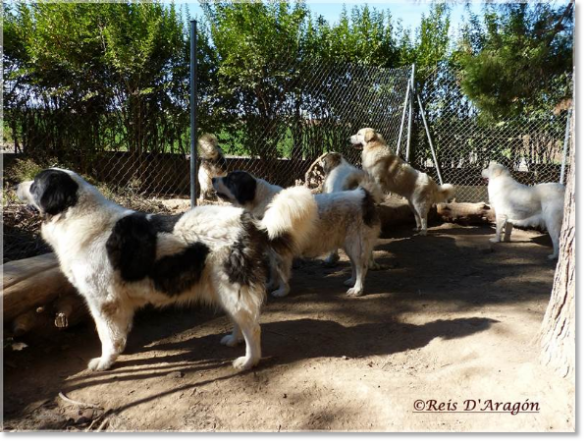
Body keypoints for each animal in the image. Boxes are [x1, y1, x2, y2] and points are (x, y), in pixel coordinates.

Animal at [16, 168, 318, 372]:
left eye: (36, 183)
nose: (16, 184)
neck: (76, 215)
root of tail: (249, 220)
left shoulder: (102, 301)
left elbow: (105, 335)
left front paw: (105, 361)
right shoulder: (117, 302)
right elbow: (118, 332)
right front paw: (119, 350)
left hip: (232, 286)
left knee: (253, 328)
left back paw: (248, 361)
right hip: (225, 288)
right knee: (241, 320)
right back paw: (233, 340)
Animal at [212, 172, 380, 300]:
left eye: (230, 179)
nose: (213, 179)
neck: (260, 201)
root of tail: (363, 195)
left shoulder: (281, 251)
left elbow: (281, 273)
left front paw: (282, 291)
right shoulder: (272, 250)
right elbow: (273, 270)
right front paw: (271, 285)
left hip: (356, 244)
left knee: (361, 266)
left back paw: (357, 289)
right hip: (349, 244)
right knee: (354, 265)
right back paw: (351, 281)